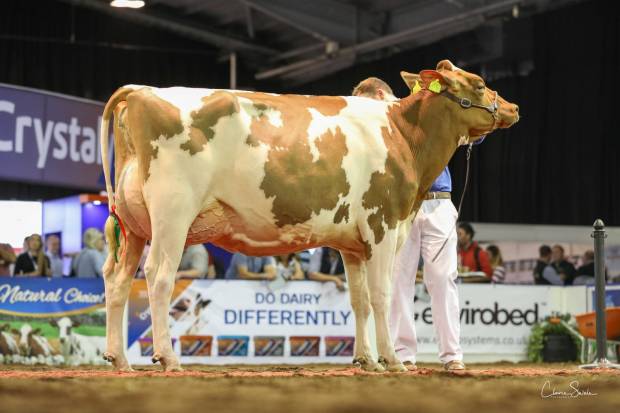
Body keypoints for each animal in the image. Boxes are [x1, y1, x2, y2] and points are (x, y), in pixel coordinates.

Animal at [100, 59, 520, 372]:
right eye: (479, 84)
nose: (514, 108)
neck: (403, 134)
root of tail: (142, 91)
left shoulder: (352, 244)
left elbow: (359, 299)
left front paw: (366, 360)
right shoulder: (382, 225)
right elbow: (381, 295)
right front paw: (392, 362)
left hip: (133, 224)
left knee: (117, 280)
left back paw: (119, 359)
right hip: (172, 213)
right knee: (158, 276)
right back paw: (167, 357)